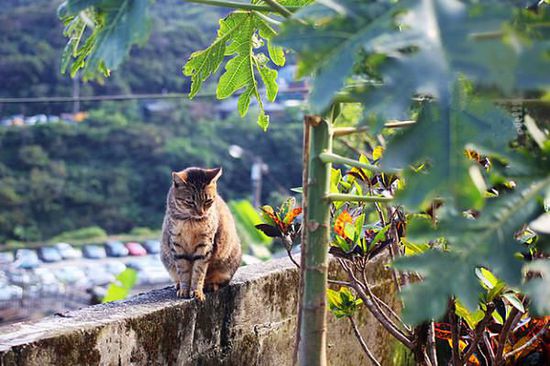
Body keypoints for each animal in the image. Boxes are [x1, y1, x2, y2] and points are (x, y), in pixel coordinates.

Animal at [162, 167, 244, 302]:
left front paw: (196, 291)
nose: (201, 213)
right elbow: (183, 271)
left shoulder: (205, 245)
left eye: (208, 201)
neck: (191, 222)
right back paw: (178, 284)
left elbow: (198, 272)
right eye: (190, 202)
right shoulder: (177, 244)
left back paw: (210, 285)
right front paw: (184, 289)